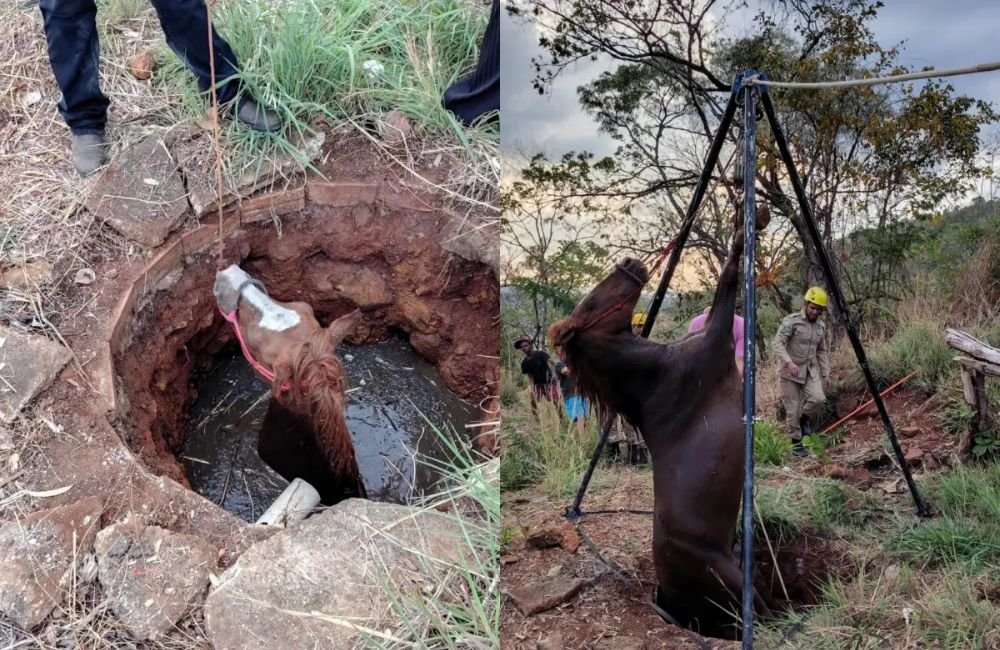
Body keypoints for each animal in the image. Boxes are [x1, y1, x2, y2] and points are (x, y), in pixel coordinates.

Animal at [549, 206, 772, 638]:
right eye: (592, 302)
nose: (630, 263)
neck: (658, 371)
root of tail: (667, 601)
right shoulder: (718, 339)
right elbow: (729, 274)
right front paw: (747, 225)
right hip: (737, 586)